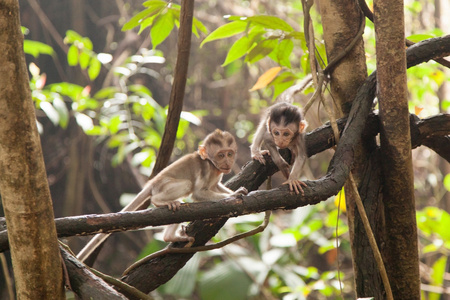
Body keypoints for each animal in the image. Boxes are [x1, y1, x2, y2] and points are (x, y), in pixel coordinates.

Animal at [76, 129, 246, 262]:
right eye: (221, 155)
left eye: (229, 154)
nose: (228, 162)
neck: (212, 165)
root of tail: (151, 184)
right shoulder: (206, 169)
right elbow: (198, 193)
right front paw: (234, 197)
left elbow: (215, 186)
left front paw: (239, 191)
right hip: (162, 186)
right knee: (185, 185)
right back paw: (159, 202)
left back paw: (170, 237)